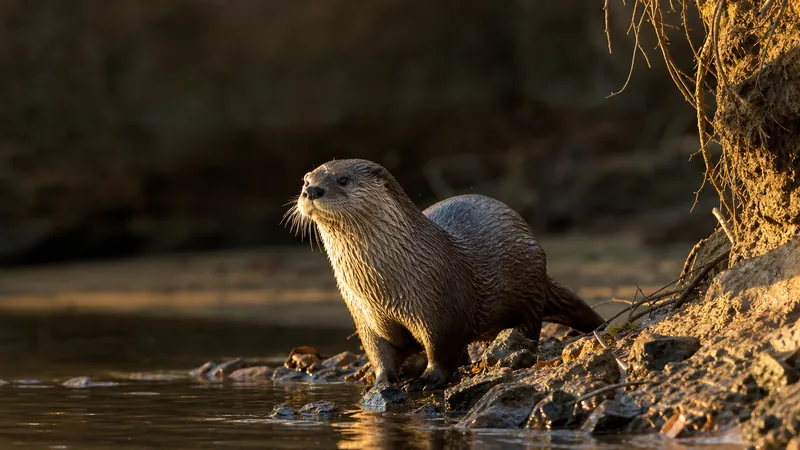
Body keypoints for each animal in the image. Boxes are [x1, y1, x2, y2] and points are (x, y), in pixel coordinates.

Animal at [286, 159, 604, 391]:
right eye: (306, 180)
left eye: (343, 180)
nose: (312, 191)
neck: (383, 288)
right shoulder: (365, 317)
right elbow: (379, 353)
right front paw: (381, 382)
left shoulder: (440, 308)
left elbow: (441, 350)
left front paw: (427, 381)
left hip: (530, 291)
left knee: (529, 326)